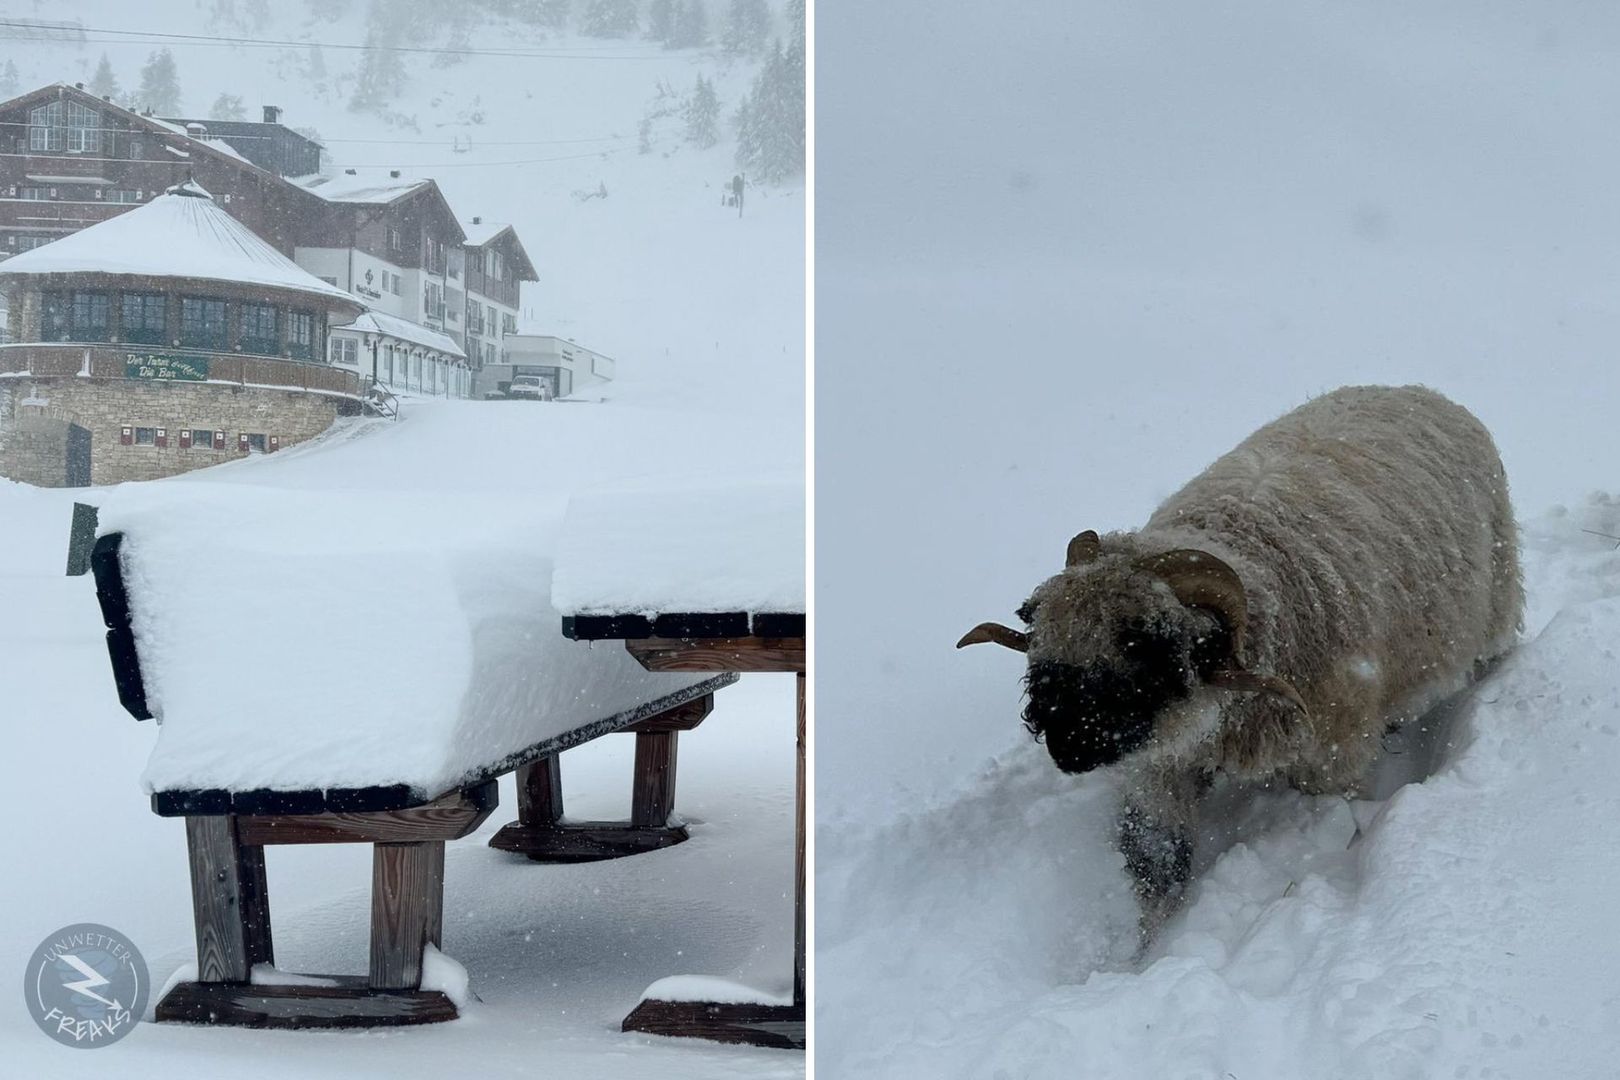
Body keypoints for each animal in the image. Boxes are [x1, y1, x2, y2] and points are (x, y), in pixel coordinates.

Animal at [952, 386, 1522, 932]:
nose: (1067, 745)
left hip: (1494, 609)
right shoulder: (1159, 764)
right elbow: (1157, 863)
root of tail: (1415, 388)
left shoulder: (1332, 756)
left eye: (1145, 642)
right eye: (1038, 627)